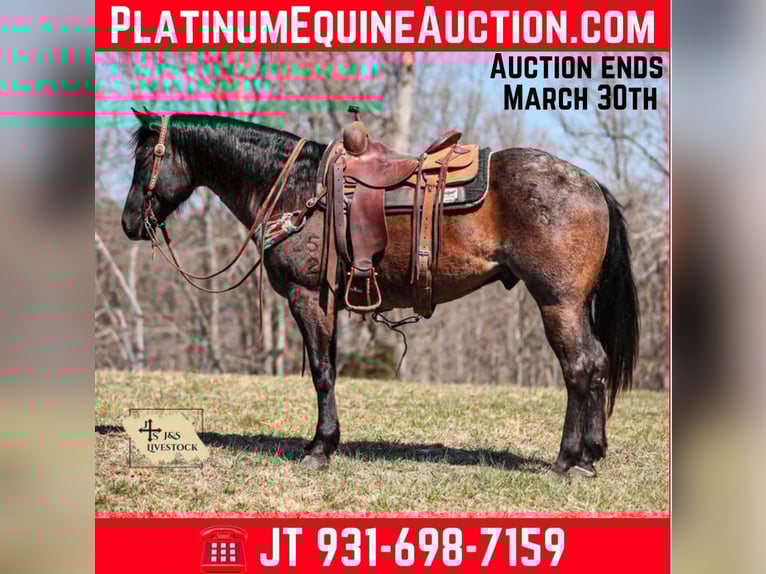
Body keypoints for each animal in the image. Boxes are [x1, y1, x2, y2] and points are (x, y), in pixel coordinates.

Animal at [120, 110, 639, 478]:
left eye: (145, 160)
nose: (128, 223)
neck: (296, 189)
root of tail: (591, 183)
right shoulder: (326, 300)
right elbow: (328, 368)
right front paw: (327, 442)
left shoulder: (305, 297)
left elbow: (322, 372)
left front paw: (319, 448)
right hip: (574, 305)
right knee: (595, 365)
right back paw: (591, 454)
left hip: (557, 302)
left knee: (579, 367)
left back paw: (568, 459)